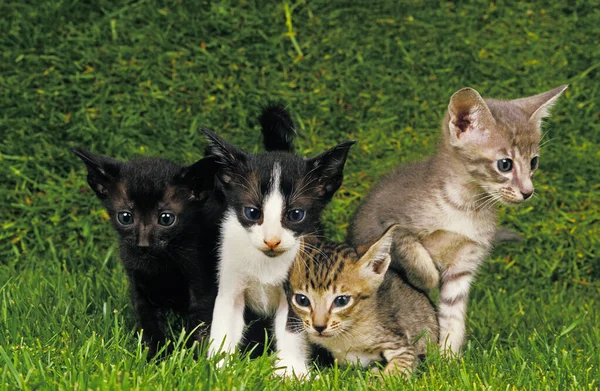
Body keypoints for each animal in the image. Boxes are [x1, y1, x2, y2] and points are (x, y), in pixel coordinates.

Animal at [72, 148, 223, 358]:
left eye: (166, 219)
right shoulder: (139, 286)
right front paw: (155, 357)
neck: (158, 265)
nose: (143, 243)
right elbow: (149, 325)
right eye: (125, 217)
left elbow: (201, 323)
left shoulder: (202, 284)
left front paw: (195, 360)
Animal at [206, 105, 356, 378]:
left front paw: (293, 371)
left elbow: (293, 329)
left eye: (296, 215)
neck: (267, 264)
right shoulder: (230, 281)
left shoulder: (299, 290)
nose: (272, 241)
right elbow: (224, 322)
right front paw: (219, 368)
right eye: (252, 213)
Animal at [286, 228, 436, 378]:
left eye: (341, 301)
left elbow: (399, 368)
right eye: (302, 300)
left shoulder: (401, 345)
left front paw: (381, 378)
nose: (319, 327)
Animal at [346, 85, 568, 356]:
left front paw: (447, 357)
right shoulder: (380, 223)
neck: (464, 208)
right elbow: (410, 247)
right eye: (505, 164)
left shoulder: (463, 265)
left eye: (534, 162)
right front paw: (427, 278)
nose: (528, 191)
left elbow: (453, 316)